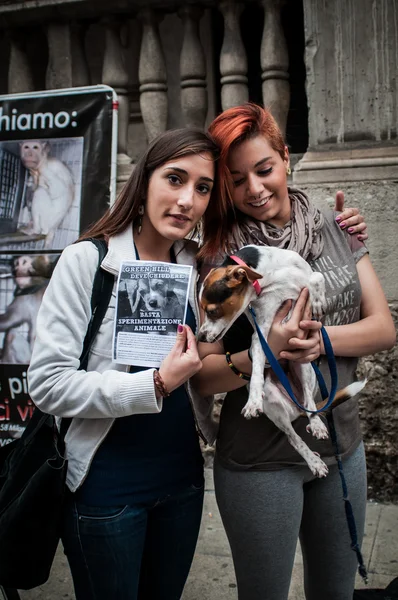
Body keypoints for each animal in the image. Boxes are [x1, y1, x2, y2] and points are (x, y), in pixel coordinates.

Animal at [199, 244, 366, 478]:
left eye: (212, 311)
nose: (200, 337)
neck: (270, 277)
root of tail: (294, 404)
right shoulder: (261, 334)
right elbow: (257, 371)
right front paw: (252, 402)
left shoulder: (304, 275)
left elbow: (317, 276)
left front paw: (318, 301)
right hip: (275, 404)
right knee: (293, 438)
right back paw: (314, 462)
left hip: (306, 369)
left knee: (310, 404)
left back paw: (316, 424)